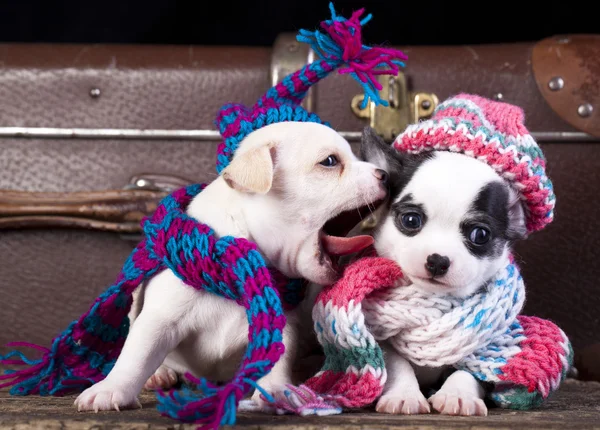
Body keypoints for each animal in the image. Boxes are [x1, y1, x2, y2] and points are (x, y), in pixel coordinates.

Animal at [74, 122, 390, 414]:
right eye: (330, 161)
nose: (386, 175)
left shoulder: (281, 325)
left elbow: (278, 358)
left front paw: (276, 389)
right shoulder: (159, 319)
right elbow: (136, 355)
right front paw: (111, 389)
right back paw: (160, 374)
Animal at [358, 127, 528, 416]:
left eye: (480, 235)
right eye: (410, 220)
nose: (438, 260)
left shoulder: (483, 347)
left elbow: (468, 371)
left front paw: (458, 395)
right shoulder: (382, 341)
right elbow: (397, 364)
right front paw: (404, 394)